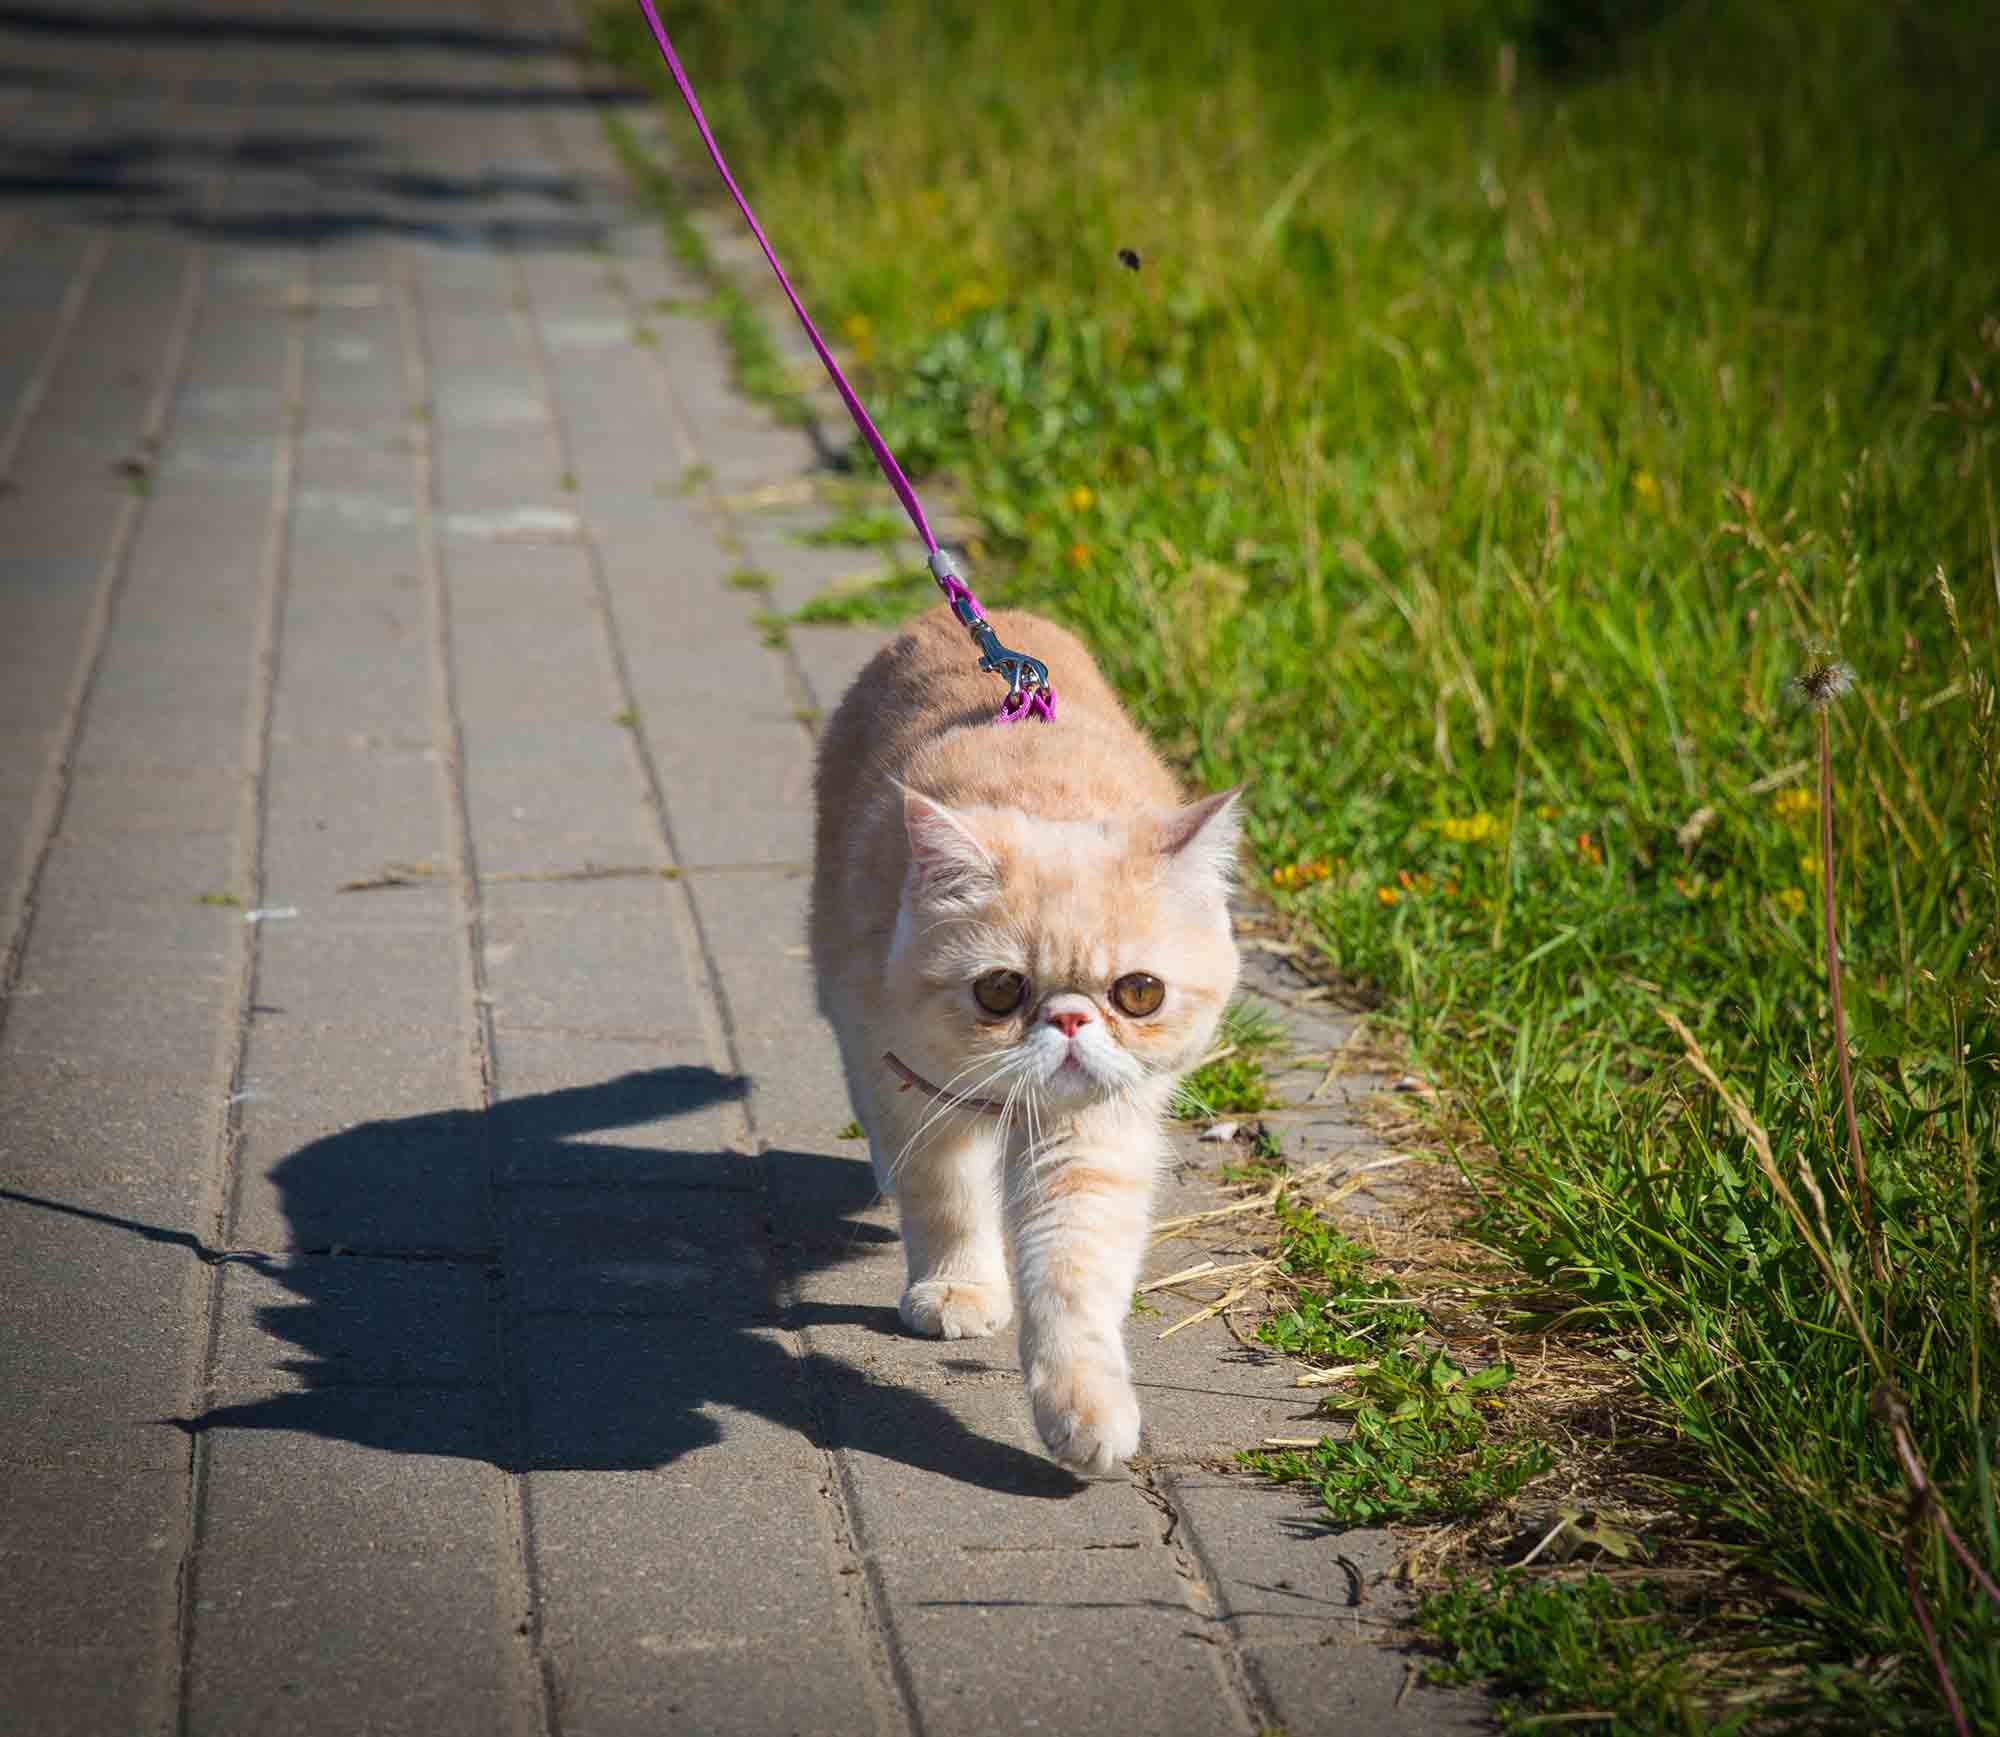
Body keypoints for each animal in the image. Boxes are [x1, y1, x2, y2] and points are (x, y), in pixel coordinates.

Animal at [808, 604, 1240, 1472]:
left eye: (1139, 993)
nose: (1070, 1018)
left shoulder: (1093, 1137)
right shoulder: (908, 1085)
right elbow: (945, 1199)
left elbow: (1073, 1274)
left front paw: (1084, 1406)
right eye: (1001, 990)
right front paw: (958, 1286)